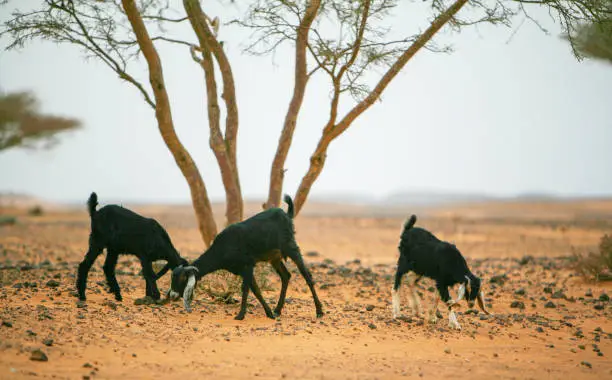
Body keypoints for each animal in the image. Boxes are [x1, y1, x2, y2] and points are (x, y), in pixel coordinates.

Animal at [165, 194, 322, 320]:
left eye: (182, 278)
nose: (172, 295)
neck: (223, 247)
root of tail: (287, 215)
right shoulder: (241, 269)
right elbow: (256, 290)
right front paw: (269, 313)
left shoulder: (247, 265)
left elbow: (246, 289)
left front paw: (240, 315)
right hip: (275, 258)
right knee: (286, 276)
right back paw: (278, 310)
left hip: (291, 247)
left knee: (307, 277)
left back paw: (319, 311)